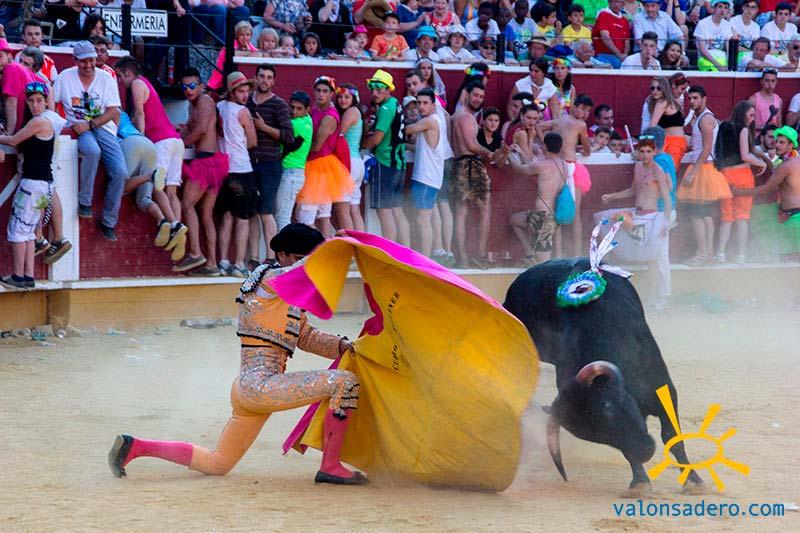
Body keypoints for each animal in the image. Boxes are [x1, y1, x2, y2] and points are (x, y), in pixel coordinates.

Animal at [503, 258, 704, 493]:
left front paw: (694, 481)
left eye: (607, 407)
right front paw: (640, 483)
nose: (645, 452)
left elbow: (673, 436)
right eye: (595, 436)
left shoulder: (664, 390)